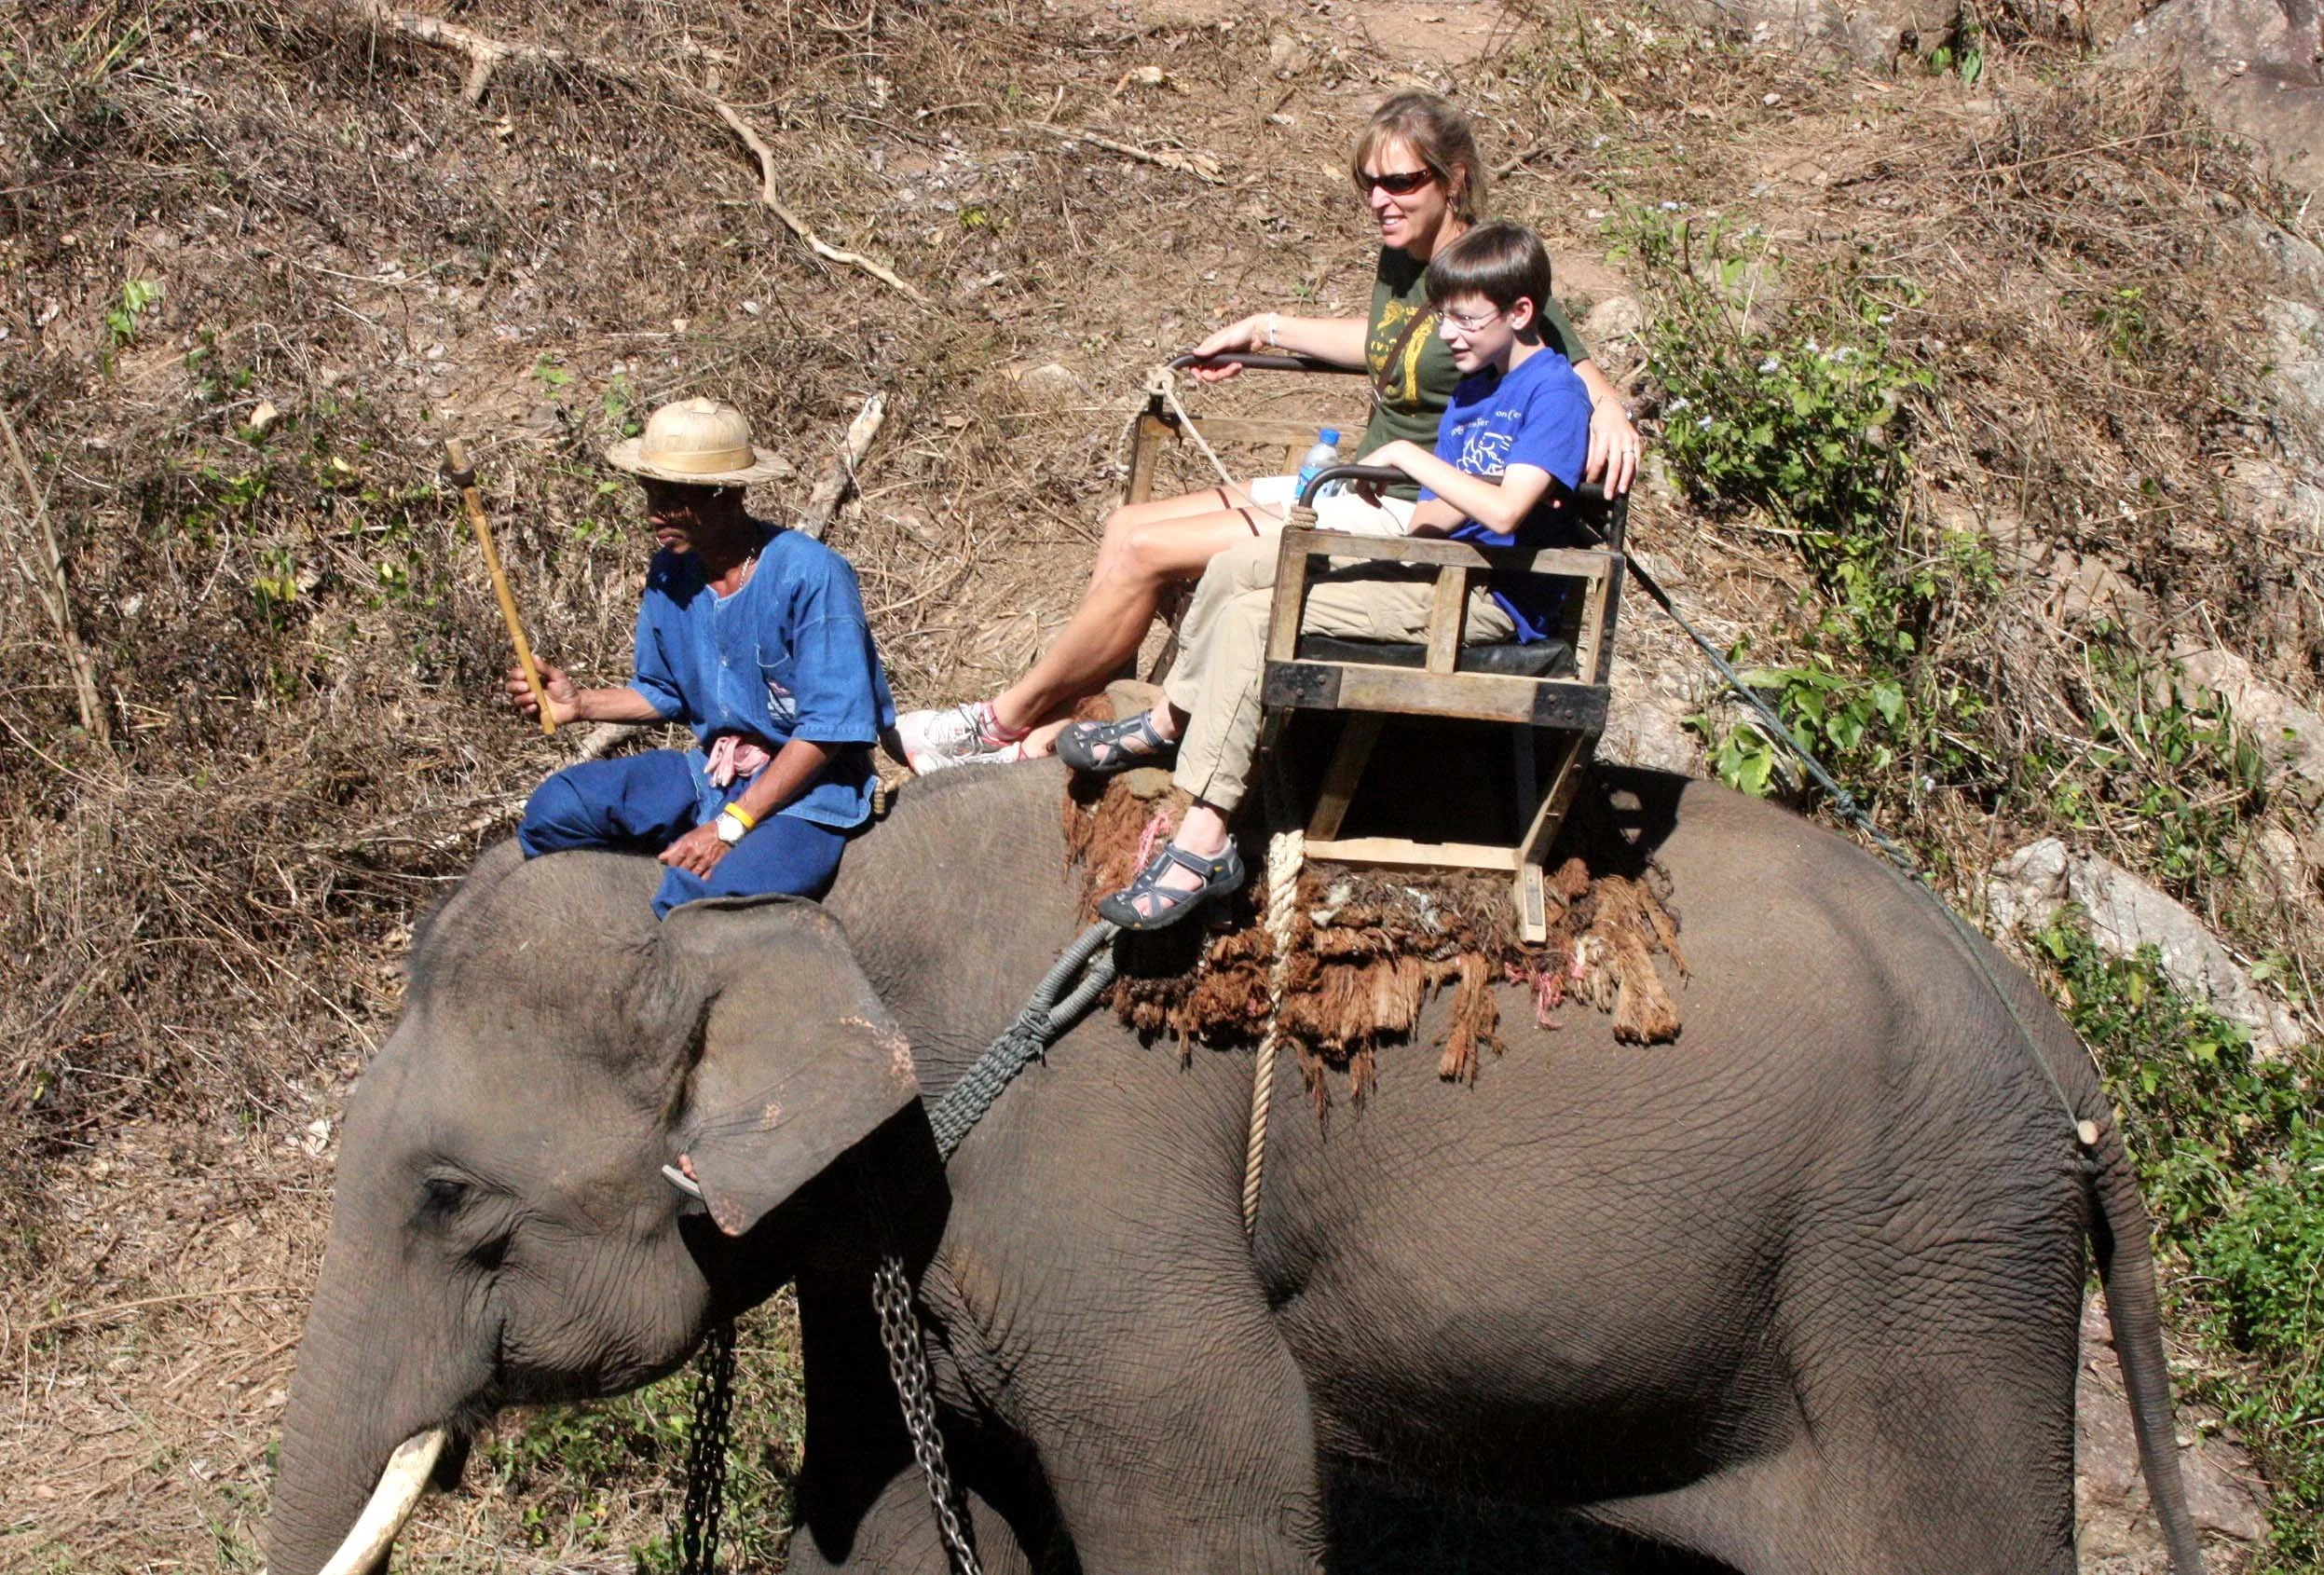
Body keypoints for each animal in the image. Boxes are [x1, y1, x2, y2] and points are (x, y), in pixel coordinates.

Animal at [266, 760, 2204, 1575]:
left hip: (1925, 1274)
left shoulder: (1075, 1182)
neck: (796, 882)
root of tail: (2064, 1058)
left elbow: (1217, 1461)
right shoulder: (886, 1239)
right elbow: (874, 1503)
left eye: (450, 1201)